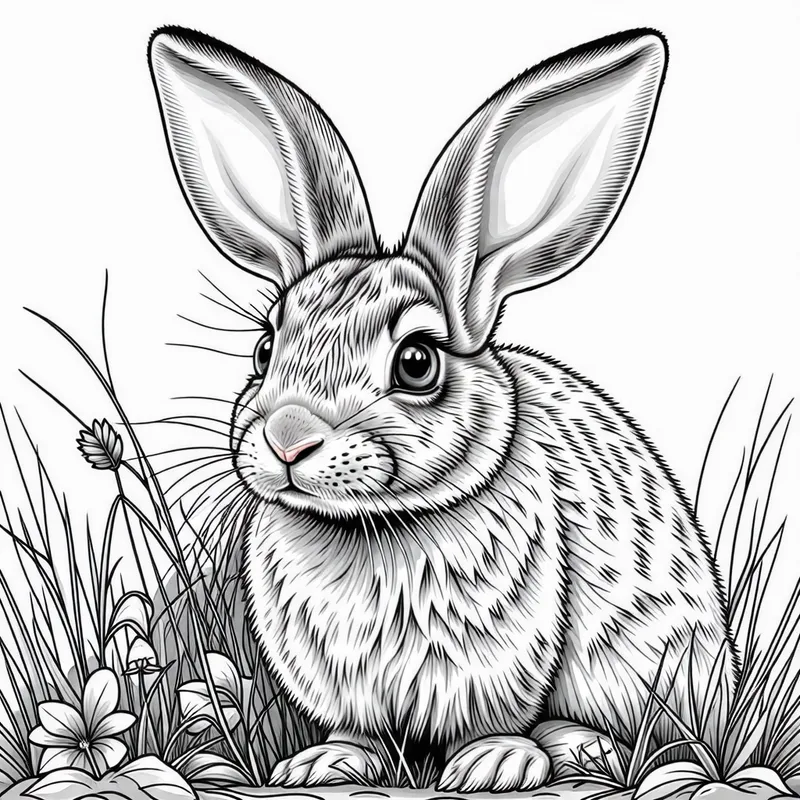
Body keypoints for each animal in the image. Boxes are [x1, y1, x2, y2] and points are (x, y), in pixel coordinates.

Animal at [149, 27, 738, 792]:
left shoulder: (504, 655)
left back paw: (578, 749)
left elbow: (495, 720)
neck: (368, 527)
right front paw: (326, 763)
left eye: (417, 363)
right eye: (265, 346)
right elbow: (359, 732)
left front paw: (492, 763)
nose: (286, 438)